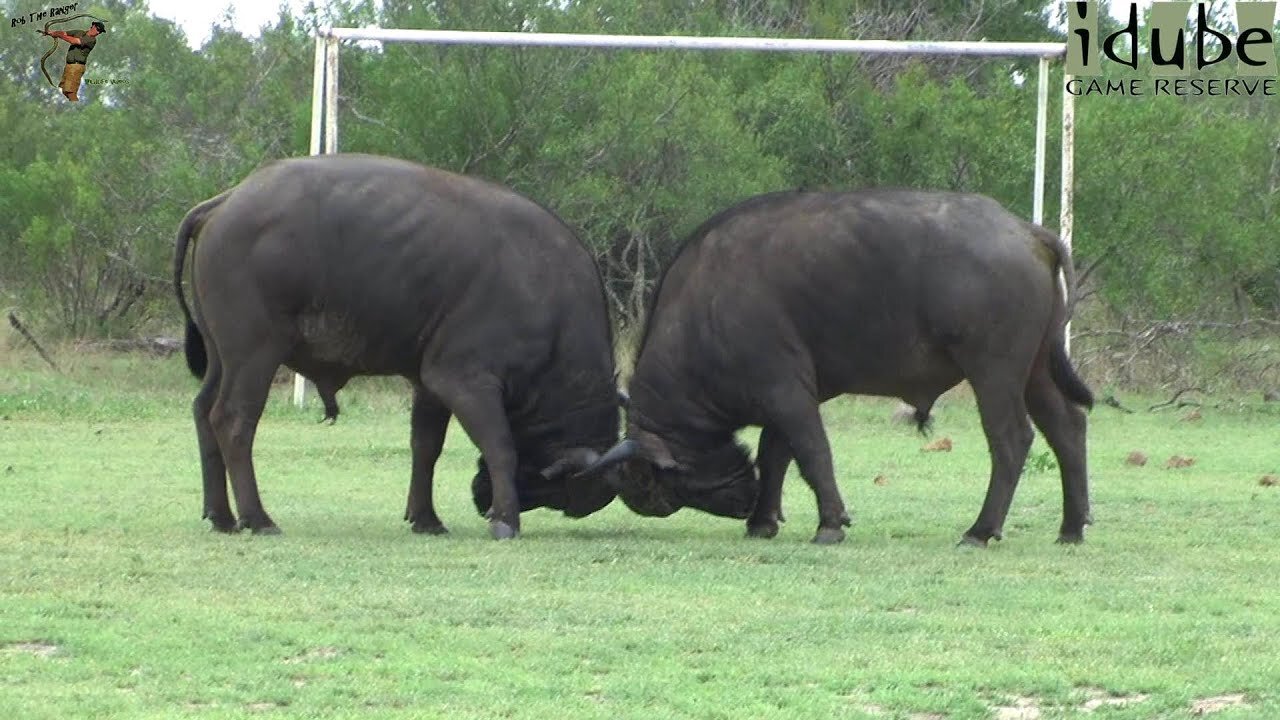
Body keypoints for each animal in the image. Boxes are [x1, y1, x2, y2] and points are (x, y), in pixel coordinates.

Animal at [174, 151, 619, 538]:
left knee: (202, 410)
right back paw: (258, 518)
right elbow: (500, 446)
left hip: (222, 358)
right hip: (255, 354)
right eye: (559, 491)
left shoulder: (430, 382)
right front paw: (506, 520)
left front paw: (426, 518)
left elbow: (426, 447)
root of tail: (225, 201)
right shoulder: (464, 380)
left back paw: (221, 516)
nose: (481, 498)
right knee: (232, 421)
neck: (547, 294)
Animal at [581, 189, 1090, 543]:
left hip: (994, 372)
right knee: (1067, 427)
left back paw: (980, 530)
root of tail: (1028, 232)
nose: (742, 504)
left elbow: (811, 451)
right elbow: (775, 453)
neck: (705, 306)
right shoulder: (783, 395)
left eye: (656, 489)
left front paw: (830, 522)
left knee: (1011, 440)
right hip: (1036, 371)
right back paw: (1072, 526)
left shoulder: (786, 392)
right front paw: (764, 520)